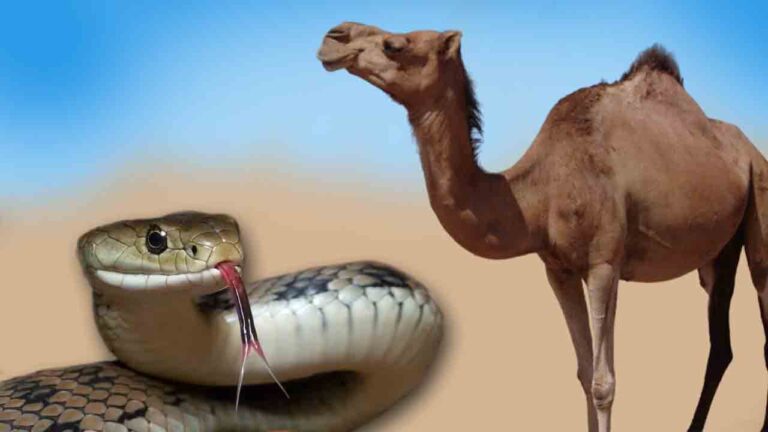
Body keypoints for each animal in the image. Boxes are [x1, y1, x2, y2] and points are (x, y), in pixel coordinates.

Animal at [317, 22, 768, 431]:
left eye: (395, 44)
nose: (333, 36)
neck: (537, 194)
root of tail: (748, 148)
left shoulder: (604, 263)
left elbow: (604, 382)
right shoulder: (558, 269)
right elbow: (584, 374)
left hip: (760, 200)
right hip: (717, 254)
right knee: (721, 343)